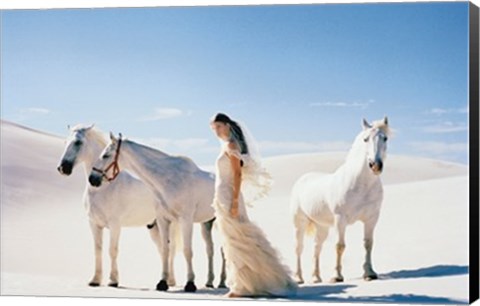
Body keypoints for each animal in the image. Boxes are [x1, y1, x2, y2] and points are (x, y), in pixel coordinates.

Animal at [57, 123, 182, 286]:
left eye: (78, 142)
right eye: (66, 142)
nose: (62, 168)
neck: (104, 187)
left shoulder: (115, 225)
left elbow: (112, 250)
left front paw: (113, 280)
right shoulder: (94, 224)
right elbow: (98, 250)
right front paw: (95, 279)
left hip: (170, 225)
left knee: (171, 249)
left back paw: (171, 281)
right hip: (154, 227)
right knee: (162, 250)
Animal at [88, 133, 225, 292]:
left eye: (106, 155)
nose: (92, 179)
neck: (169, 179)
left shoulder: (186, 220)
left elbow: (187, 250)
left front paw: (190, 283)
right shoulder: (162, 219)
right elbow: (165, 249)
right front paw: (162, 282)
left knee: (225, 250)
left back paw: (224, 282)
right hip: (207, 224)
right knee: (211, 249)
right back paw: (210, 282)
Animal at [288, 116, 390, 284]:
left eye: (385, 138)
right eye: (365, 139)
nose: (375, 165)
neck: (361, 184)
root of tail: (302, 179)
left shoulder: (371, 218)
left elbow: (368, 244)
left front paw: (369, 273)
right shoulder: (340, 219)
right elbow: (340, 246)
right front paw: (337, 276)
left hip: (322, 227)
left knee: (317, 247)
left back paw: (316, 277)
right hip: (299, 223)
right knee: (298, 248)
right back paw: (298, 278)